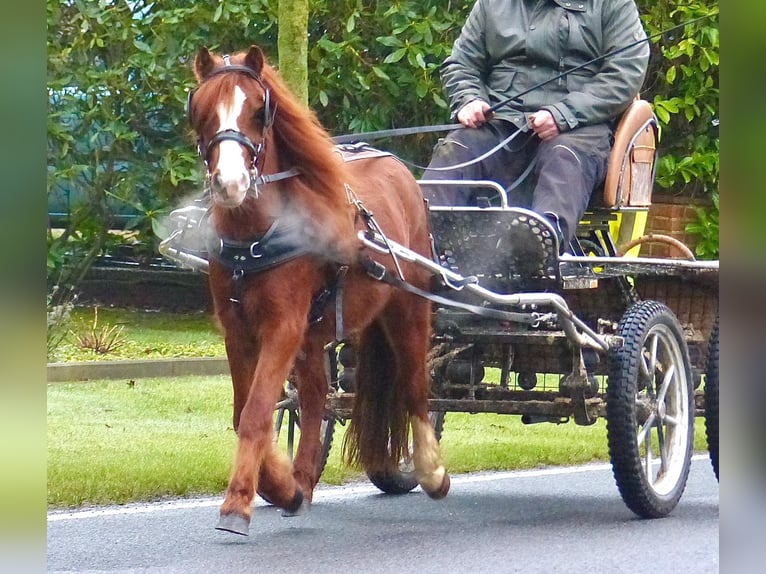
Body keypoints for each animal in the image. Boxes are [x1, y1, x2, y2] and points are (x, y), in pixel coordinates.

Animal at [188, 45, 450, 536]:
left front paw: (238, 502)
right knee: (314, 396)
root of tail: (399, 168)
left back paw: (431, 471)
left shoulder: (283, 326)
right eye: (201, 110)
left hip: (408, 306)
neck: (257, 234)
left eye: (259, 111)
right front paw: (278, 485)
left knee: (415, 384)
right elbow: (247, 410)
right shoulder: (238, 329)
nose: (230, 183)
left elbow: (256, 413)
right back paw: (302, 484)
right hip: (315, 333)